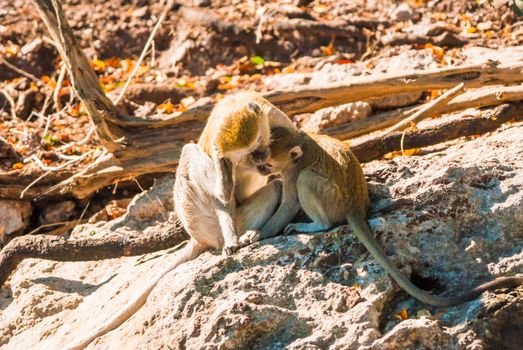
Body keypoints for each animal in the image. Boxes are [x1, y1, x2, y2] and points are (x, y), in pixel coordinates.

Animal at [66, 93, 296, 350]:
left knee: (272, 186)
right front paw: (231, 237)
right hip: (205, 219)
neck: (234, 105)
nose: (260, 157)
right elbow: (221, 192)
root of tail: (198, 237)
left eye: (258, 143)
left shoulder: (276, 117)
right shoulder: (223, 153)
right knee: (192, 154)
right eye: (248, 153)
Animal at [247, 128, 523, 306]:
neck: (303, 143)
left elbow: (290, 201)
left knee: (309, 182)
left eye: (266, 162)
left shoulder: (292, 171)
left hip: (331, 199)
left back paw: (317, 225)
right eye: (257, 152)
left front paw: (257, 235)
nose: (256, 164)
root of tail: (356, 205)